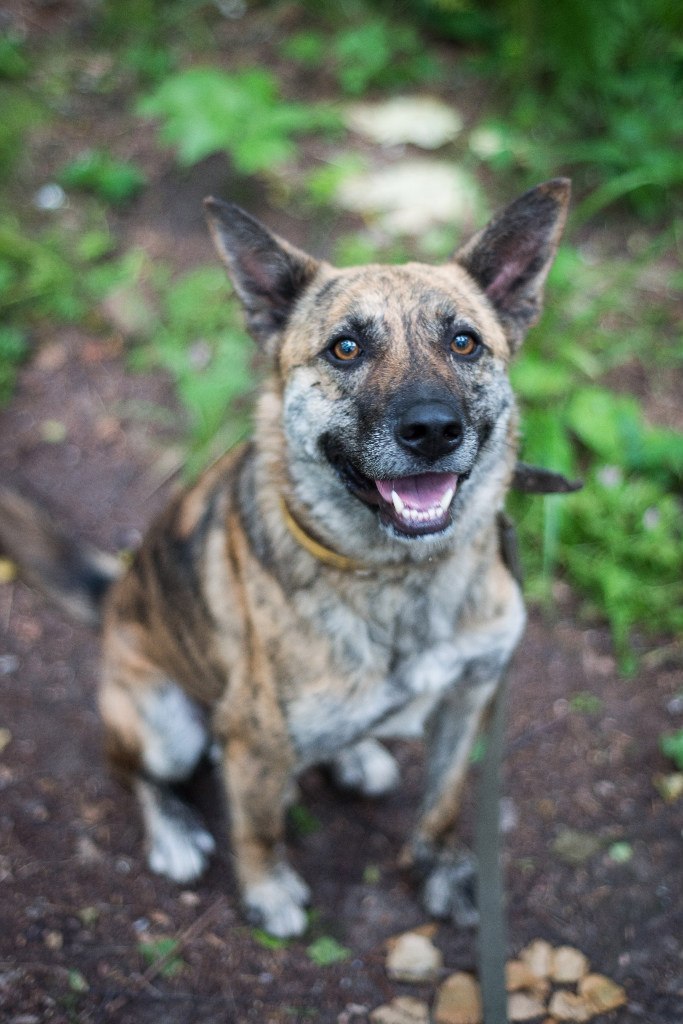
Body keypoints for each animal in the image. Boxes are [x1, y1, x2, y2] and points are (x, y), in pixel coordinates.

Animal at [0, 178, 573, 937]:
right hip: (164, 723)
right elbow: (258, 830)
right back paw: (173, 831)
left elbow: (445, 801)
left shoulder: (471, 695)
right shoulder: (254, 741)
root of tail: (118, 593)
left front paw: (443, 871)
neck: (400, 577)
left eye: (463, 342)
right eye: (345, 348)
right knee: (134, 771)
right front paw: (267, 891)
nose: (432, 431)